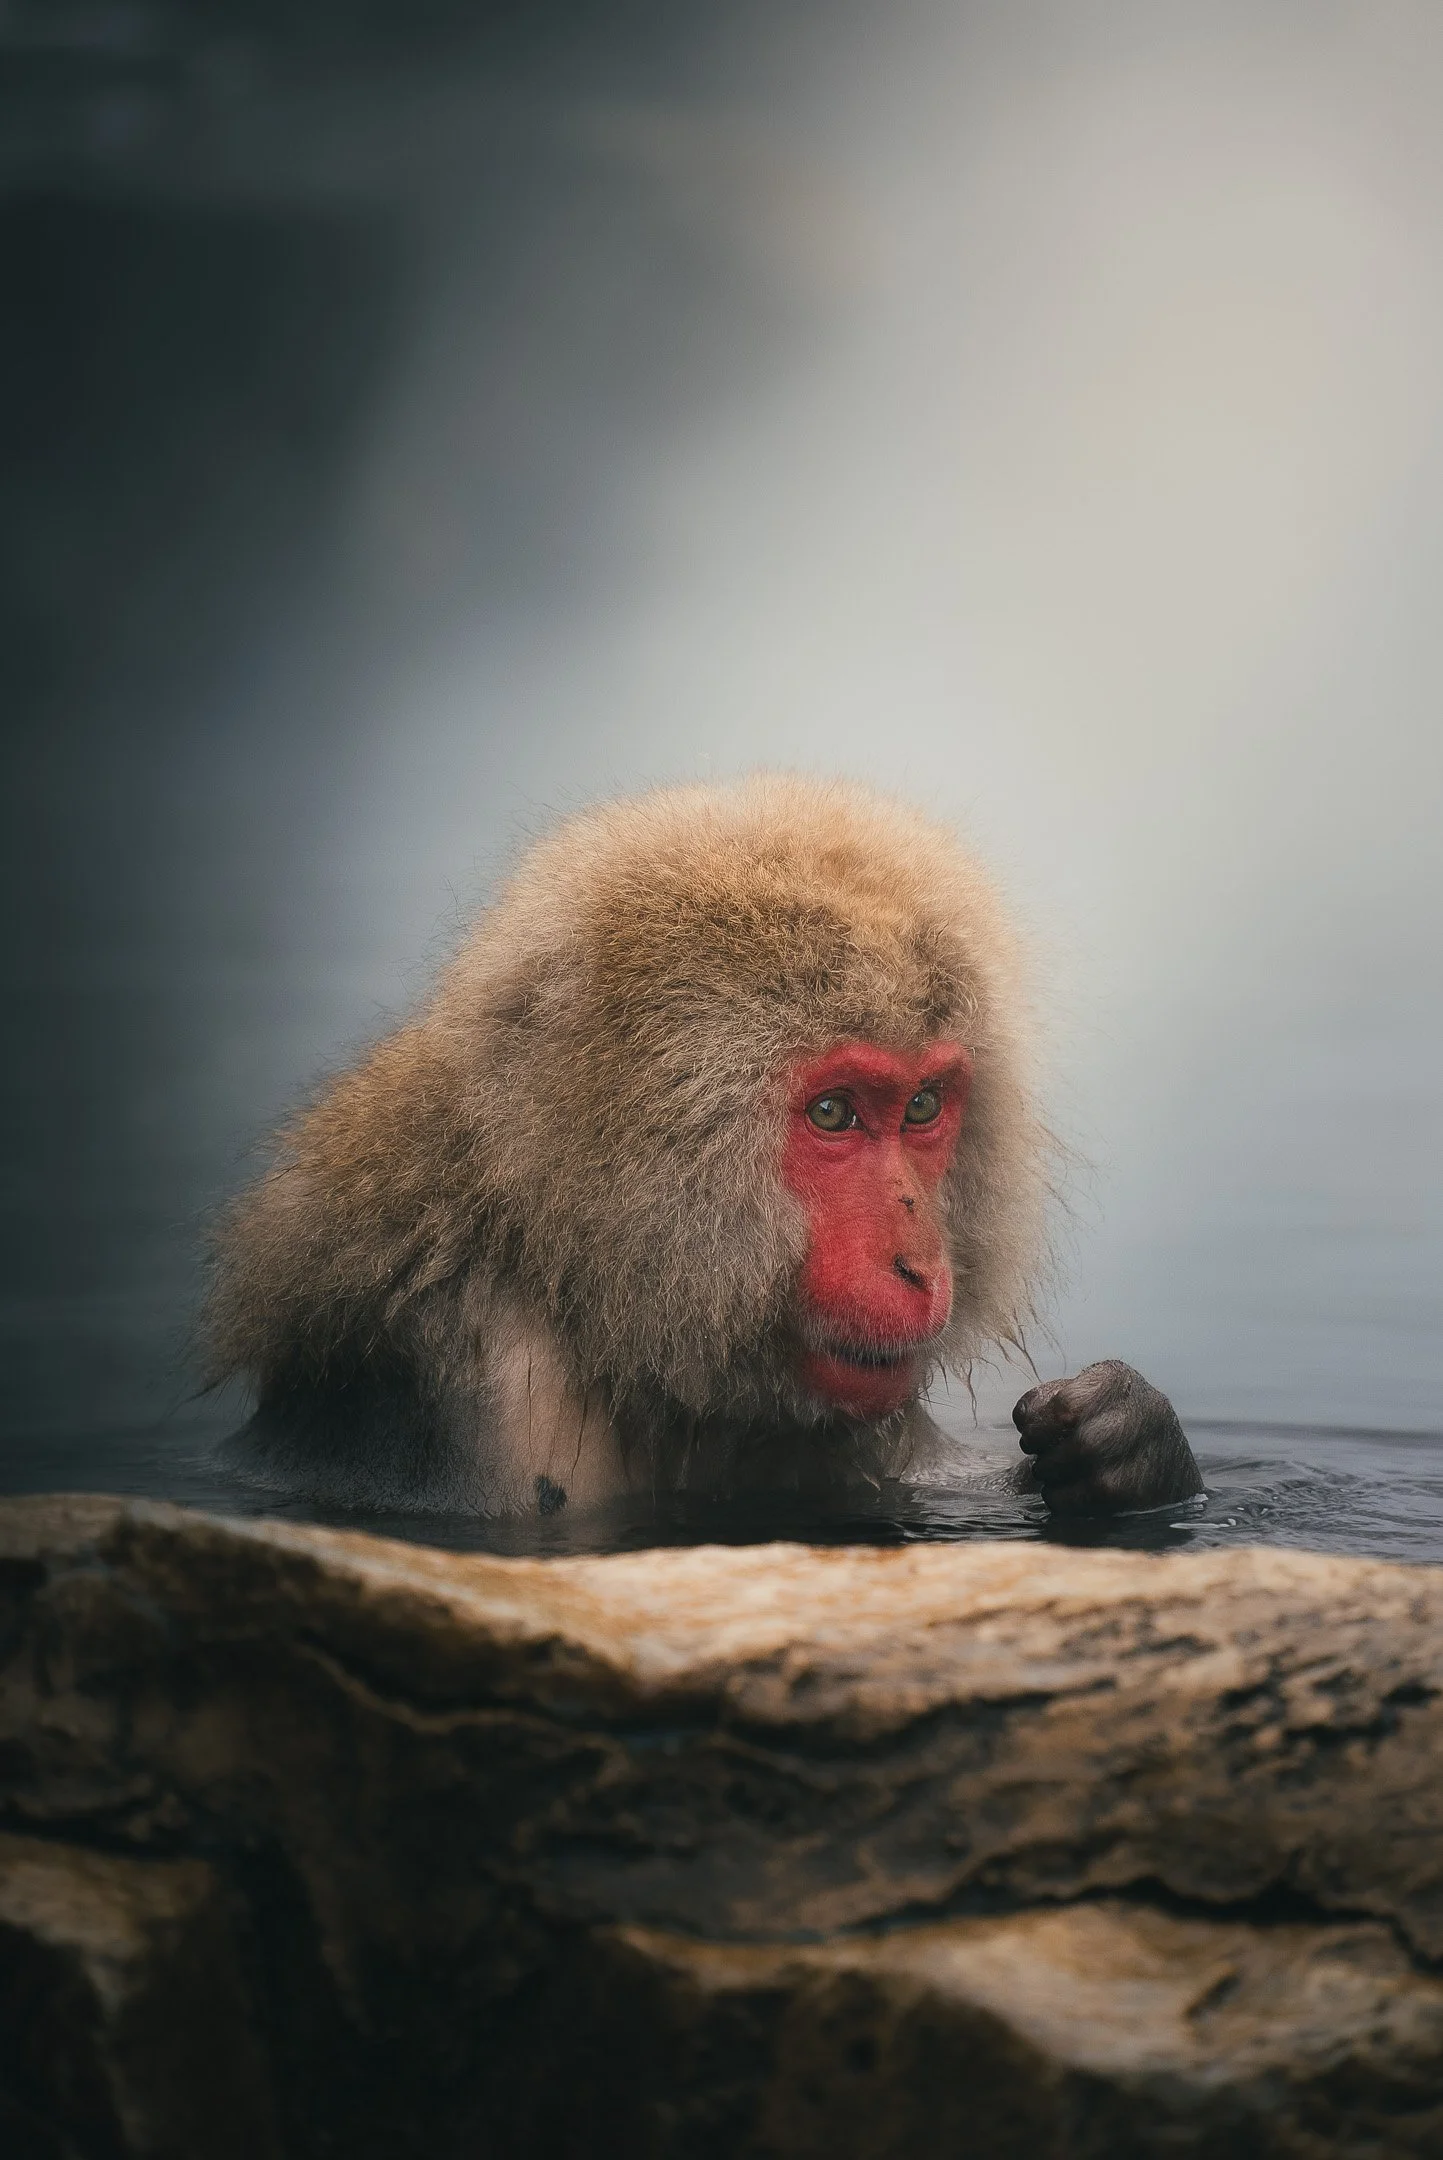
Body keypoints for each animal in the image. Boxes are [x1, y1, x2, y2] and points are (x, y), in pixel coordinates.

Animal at [202, 775, 1202, 1520]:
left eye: (920, 1105)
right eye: (833, 1114)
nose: (918, 1265)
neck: (579, 1282)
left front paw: (1127, 1436)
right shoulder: (483, 1380)